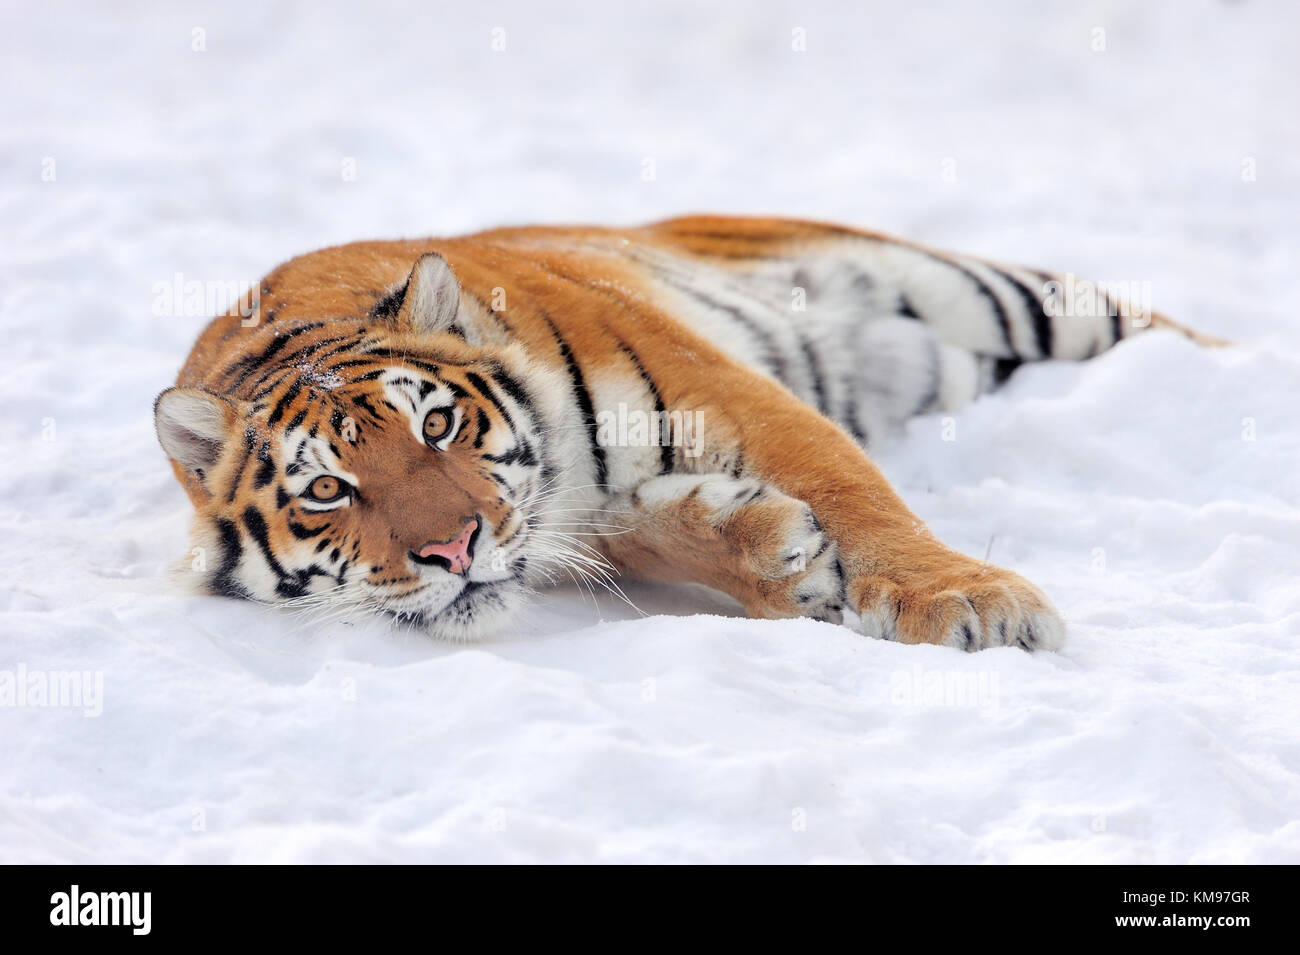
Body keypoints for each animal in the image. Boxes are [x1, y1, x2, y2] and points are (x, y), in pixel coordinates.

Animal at [154, 216, 1216, 649]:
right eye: (327, 489)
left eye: (440, 424)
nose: (451, 549)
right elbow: (649, 532)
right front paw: (776, 555)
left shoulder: (718, 387)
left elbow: (852, 489)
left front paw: (968, 601)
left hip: (1003, 295)